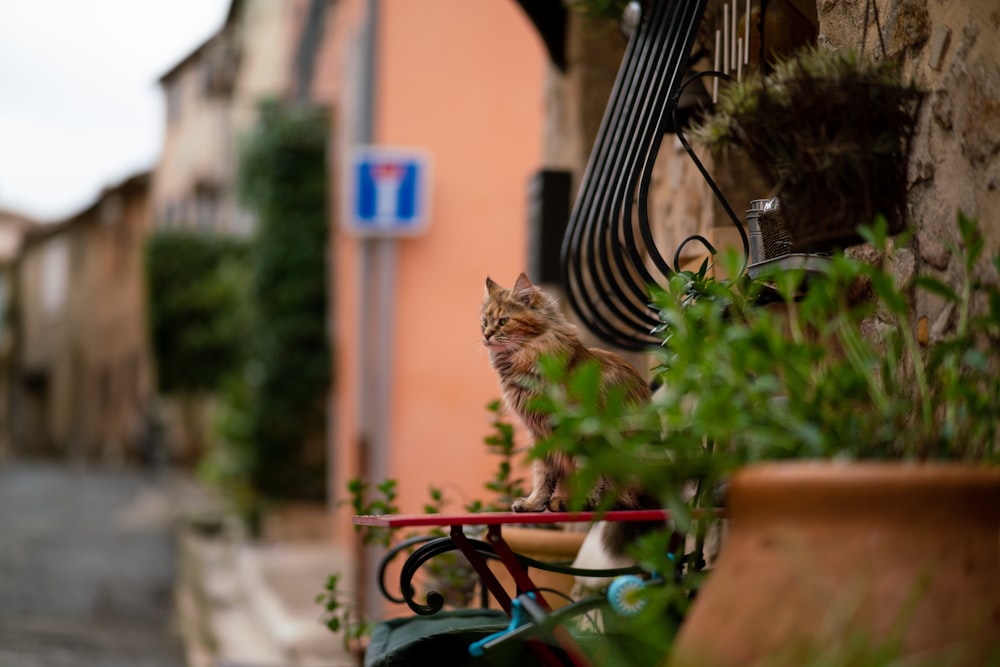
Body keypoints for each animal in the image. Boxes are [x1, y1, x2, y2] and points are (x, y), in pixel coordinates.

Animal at [482, 274, 660, 556]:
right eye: (484, 322)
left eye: (503, 321)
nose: (486, 335)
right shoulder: (539, 433)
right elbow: (542, 474)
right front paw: (534, 503)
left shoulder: (582, 428)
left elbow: (586, 469)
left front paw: (586, 499)